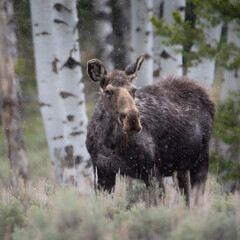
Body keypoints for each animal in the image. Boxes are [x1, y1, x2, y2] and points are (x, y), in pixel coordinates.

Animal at [86, 54, 216, 204]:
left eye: (134, 89)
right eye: (108, 91)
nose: (132, 121)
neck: (111, 142)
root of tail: (207, 94)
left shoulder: (151, 169)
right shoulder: (102, 170)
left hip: (202, 158)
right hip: (181, 167)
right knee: (186, 196)